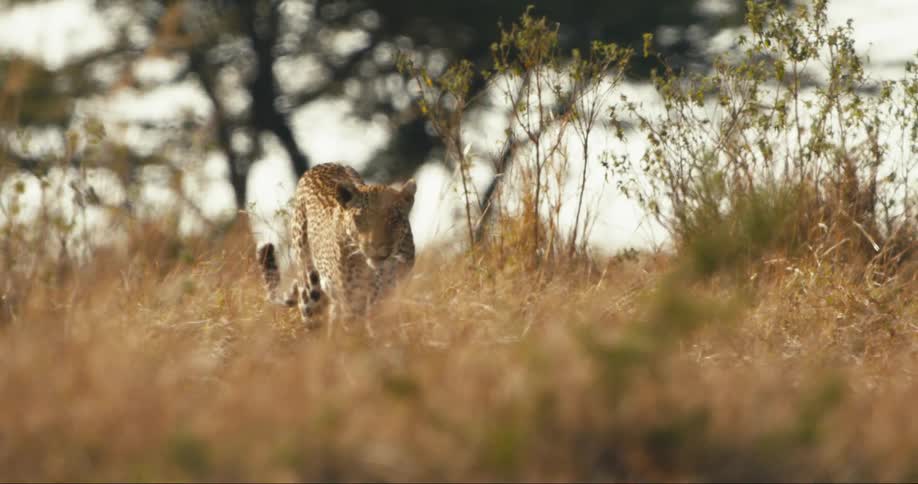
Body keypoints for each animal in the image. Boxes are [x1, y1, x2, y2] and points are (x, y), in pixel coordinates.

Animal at [256, 162, 416, 336]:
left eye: (394, 219)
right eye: (359, 219)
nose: (376, 245)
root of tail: (320, 166)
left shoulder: (392, 298)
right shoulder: (353, 304)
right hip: (309, 291)